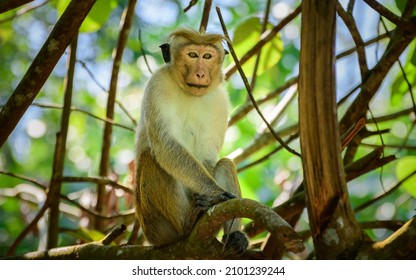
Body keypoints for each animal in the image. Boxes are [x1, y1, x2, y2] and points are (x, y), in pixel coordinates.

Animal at [135, 28, 249, 254]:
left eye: (207, 56)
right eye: (193, 55)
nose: (201, 74)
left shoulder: (219, 100)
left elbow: (207, 157)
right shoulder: (157, 83)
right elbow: (166, 146)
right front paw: (217, 193)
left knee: (224, 164)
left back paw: (233, 237)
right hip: (156, 226)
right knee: (151, 157)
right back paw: (187, 224)